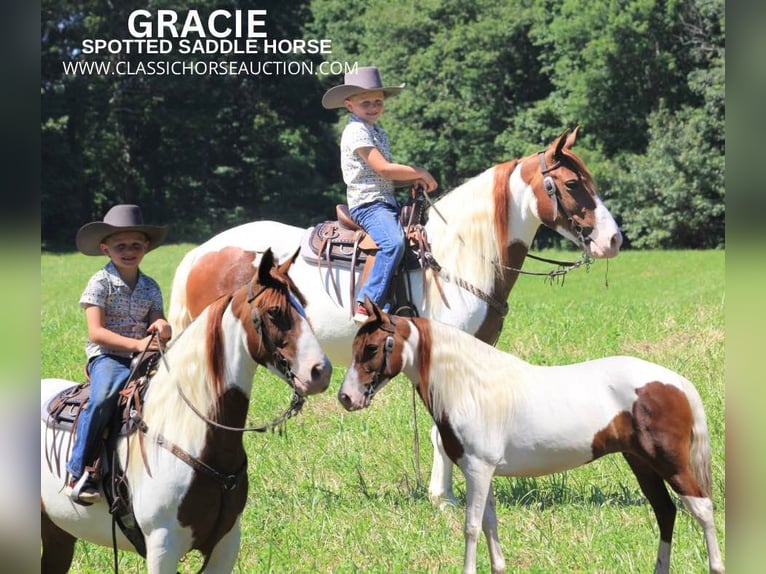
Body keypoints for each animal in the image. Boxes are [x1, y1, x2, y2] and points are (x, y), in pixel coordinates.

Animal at [40, 251, 332, 574]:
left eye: (302, 305)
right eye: (274, 311)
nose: (321, 371)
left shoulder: (226, 544)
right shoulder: (163, 546)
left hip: (58, 533)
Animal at [340, 302, 728, 574]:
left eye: (372, 348)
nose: (346, 398)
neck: (472, 388)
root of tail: (677, 382)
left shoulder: (478, 470)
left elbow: (471, 526)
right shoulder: (483, 472)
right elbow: (489, 523)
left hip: (669, 463)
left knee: (701, 508)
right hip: (641, 463)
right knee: (665, 511)